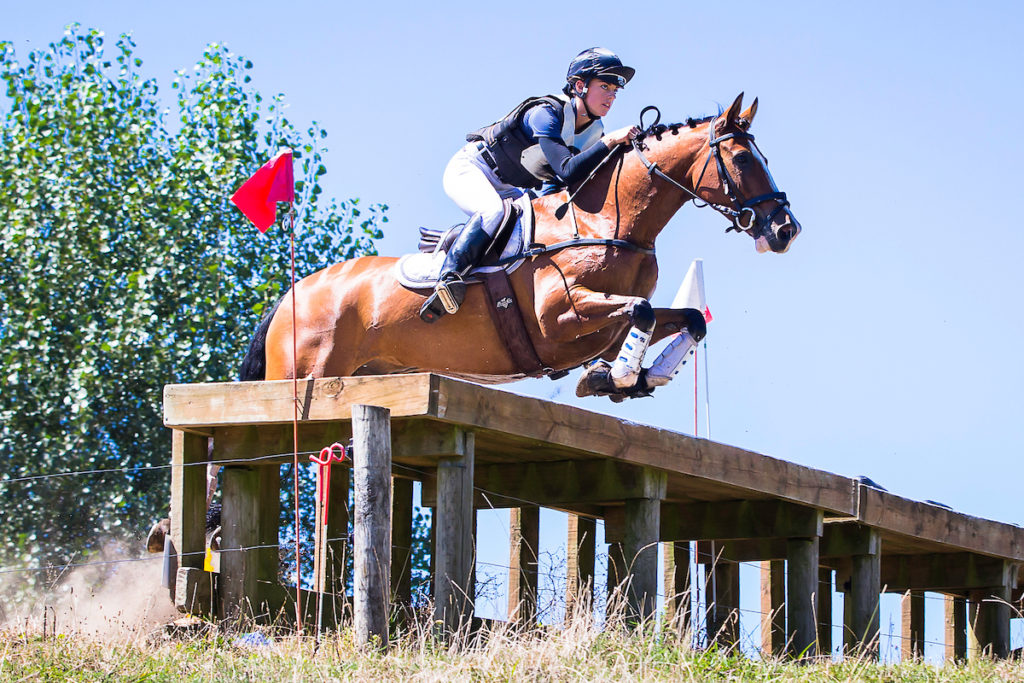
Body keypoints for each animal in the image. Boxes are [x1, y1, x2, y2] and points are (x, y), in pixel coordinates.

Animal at [237, 92, 798, 401]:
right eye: (742, 160)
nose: (785, 230)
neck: (606, 219)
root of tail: (291, 295)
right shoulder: (558, 318)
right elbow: (637, 310)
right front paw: (618, 375)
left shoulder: (607, 315)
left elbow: (685, 318)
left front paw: (633, 376)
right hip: (301, 373)